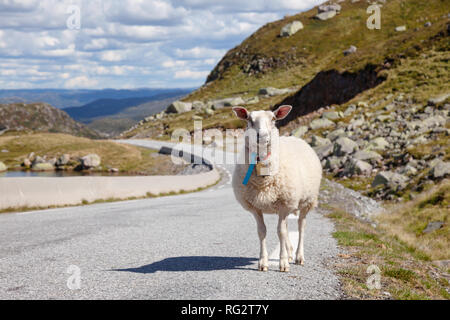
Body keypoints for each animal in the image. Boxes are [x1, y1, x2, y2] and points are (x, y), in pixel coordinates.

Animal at [230, 106, 322, 272]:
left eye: (273, 119)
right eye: (249, 119)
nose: (263, 136)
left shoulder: (285, 204)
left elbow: (281, 232)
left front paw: (283, 263)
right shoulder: (255, 207)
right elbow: (262, 231)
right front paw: (263, 262)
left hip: (307, 201)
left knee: (301, 226)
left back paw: (298, 256)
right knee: (286, 226)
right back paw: (290, 252)